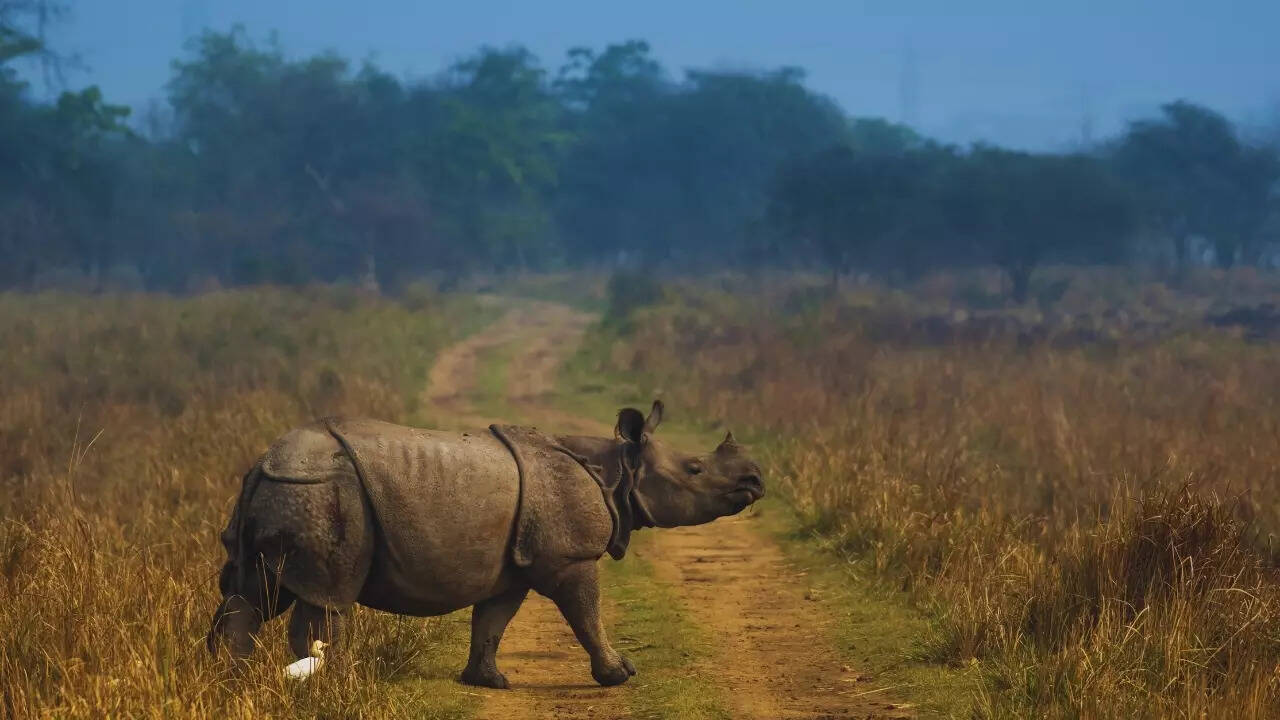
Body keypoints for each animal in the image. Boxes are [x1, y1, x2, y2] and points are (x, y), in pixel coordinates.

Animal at [206, 401, 764, 688]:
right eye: (695, 469)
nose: (755, 480)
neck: (617, 471)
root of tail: (263, 462)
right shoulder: (570, 557)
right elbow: (587, 614)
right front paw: (619, 675)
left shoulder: (512, 564)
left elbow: (493, 620)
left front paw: (487, 681)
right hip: (322, 491)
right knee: (325, 599)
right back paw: (332, 685)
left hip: (286, 491)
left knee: (252, 593)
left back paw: (228, 682)